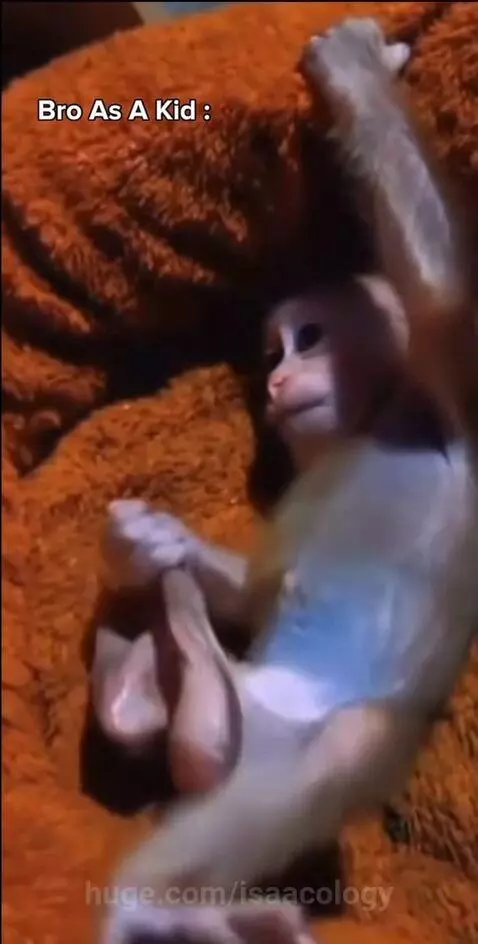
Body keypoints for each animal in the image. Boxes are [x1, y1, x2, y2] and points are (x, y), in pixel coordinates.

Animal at [98, 19, 478, 944]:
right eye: (271, 351)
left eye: (308, 339)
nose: (274, 382)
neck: (368, 422)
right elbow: (255, 599)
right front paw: (152, 539)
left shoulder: (450, 385)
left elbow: (441, 293)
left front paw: (353, 73)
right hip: (234, 753)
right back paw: (161, 693)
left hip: (281, 758)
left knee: (347, 742)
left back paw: (157, 892)